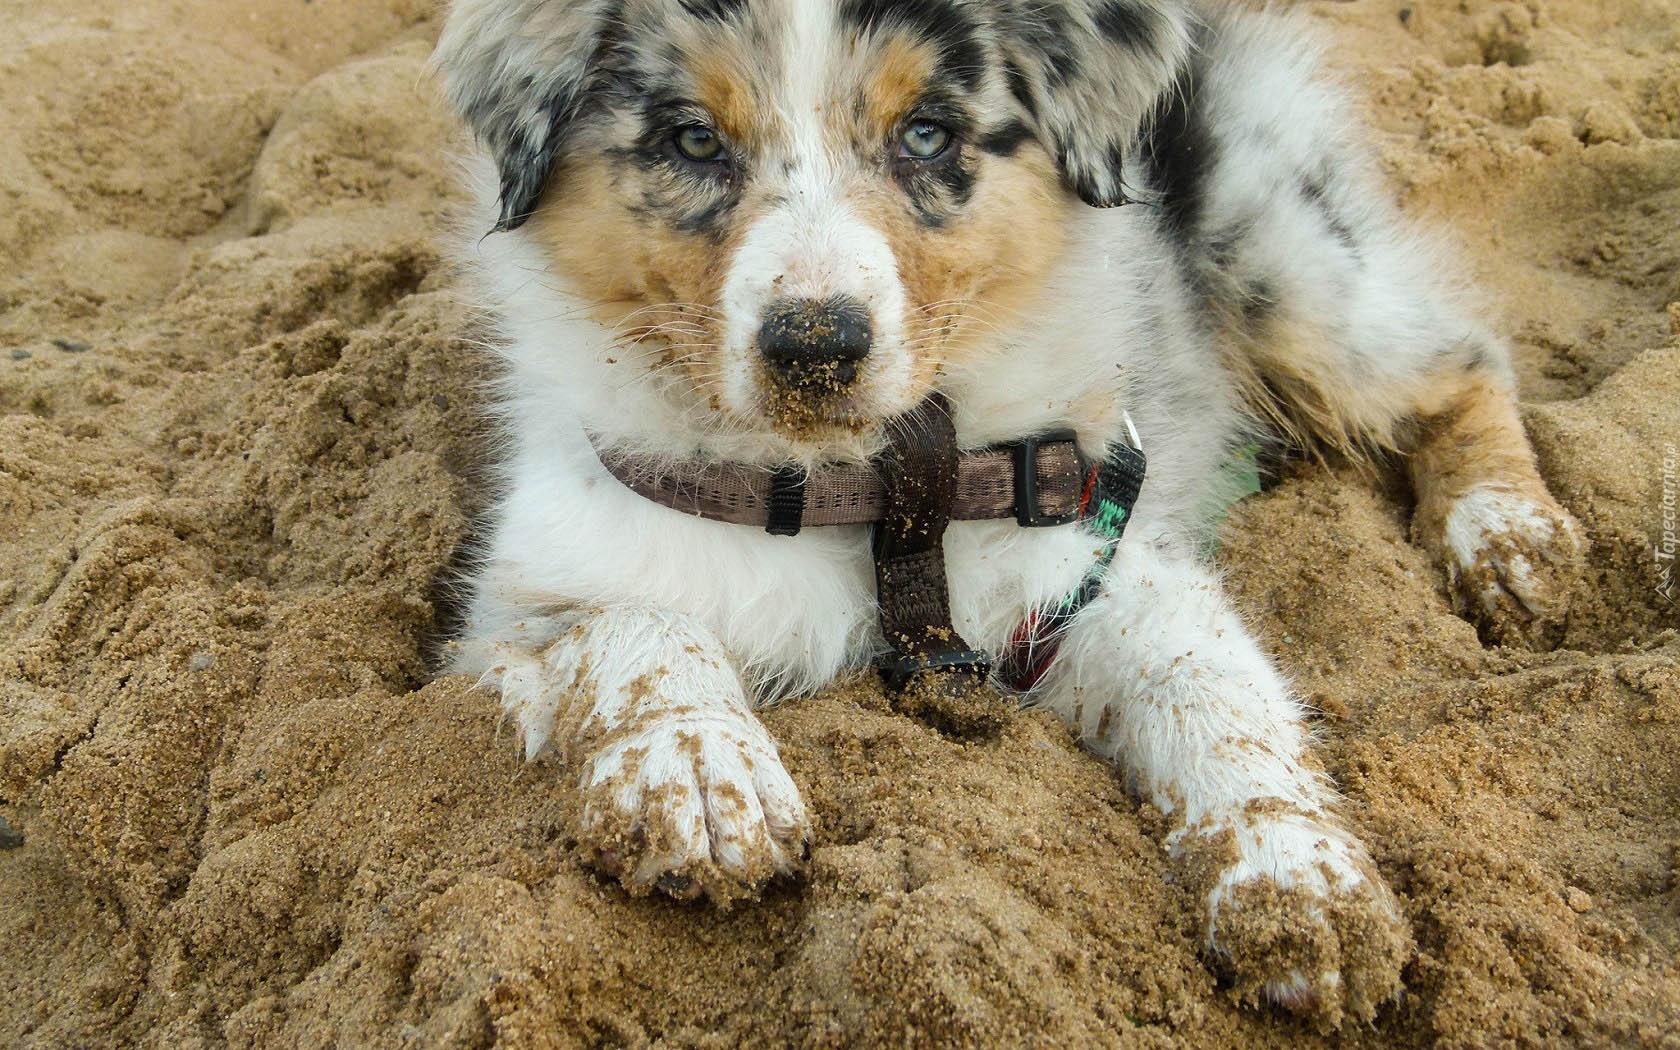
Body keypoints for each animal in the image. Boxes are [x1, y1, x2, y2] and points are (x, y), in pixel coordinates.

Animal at [433, 0, 1585, 1021]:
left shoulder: (1094, 559)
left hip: (1286, 266)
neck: (864, 490)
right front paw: (700, 770)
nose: (816, 345)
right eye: (693, 140)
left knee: (1459, 359)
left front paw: (1301, 882)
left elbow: (1212, 685)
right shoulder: (520, 596)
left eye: (927, 134)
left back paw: (1509, 538)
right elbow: (631, 621)